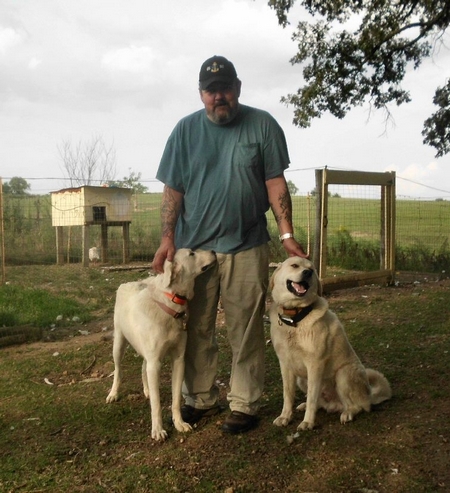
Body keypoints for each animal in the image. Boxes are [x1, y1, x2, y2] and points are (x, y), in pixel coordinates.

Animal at [107, 248, 216, 440]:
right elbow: (157, 404)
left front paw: (179, 423)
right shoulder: (155, 363)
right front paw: (157, 430)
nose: (213, 250)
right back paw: (113, 393)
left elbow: (176, 399)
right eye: (192, 253)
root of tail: (127, 283)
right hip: (119, 344)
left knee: (143, 367)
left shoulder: (178, 359)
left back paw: (147, 390)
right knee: (118, 370)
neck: (171, 301)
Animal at [268, 258, 392, 430]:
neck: (295, 319)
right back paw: (306, 406)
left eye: (312, 269)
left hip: (343, 375)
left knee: (359, 406)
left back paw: (348, 413)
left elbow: (312, 397)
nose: (307, 273)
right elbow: (288, 395)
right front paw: (285, 416)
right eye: (294, 265)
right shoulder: (285, 364)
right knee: (321, 403)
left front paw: (308, 422)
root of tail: (369, 395)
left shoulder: (315, 365)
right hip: (302, 379)